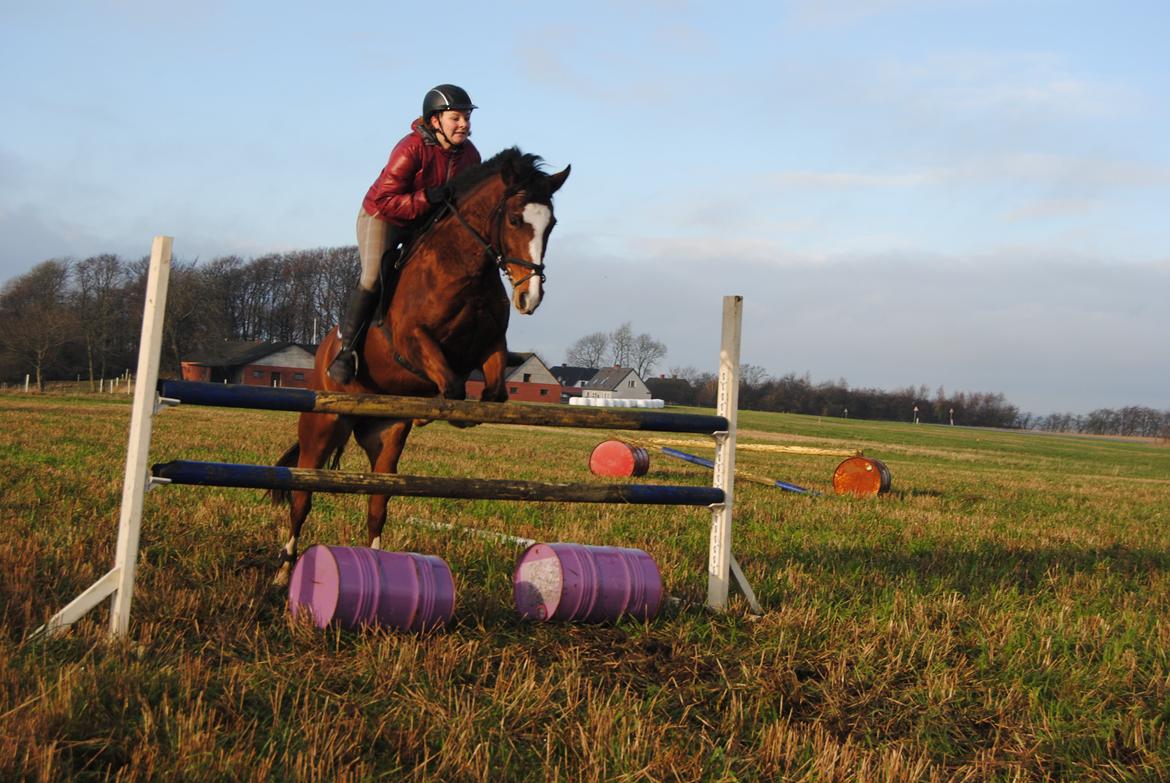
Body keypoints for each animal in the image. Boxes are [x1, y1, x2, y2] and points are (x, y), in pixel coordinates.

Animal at [270, 149, 570, 582]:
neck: (465, 265)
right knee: (302, 494)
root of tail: (324, 351)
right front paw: (445, 408)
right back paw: (285, 568)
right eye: (515, 219)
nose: (529, 298)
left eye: (551, 224)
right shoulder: (412, 340)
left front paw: (454, 411)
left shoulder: (490, 345)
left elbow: (494, 391)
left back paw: (378, 566)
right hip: (321, 425)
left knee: (378, 500)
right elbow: (453, 385)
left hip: (384, 435)